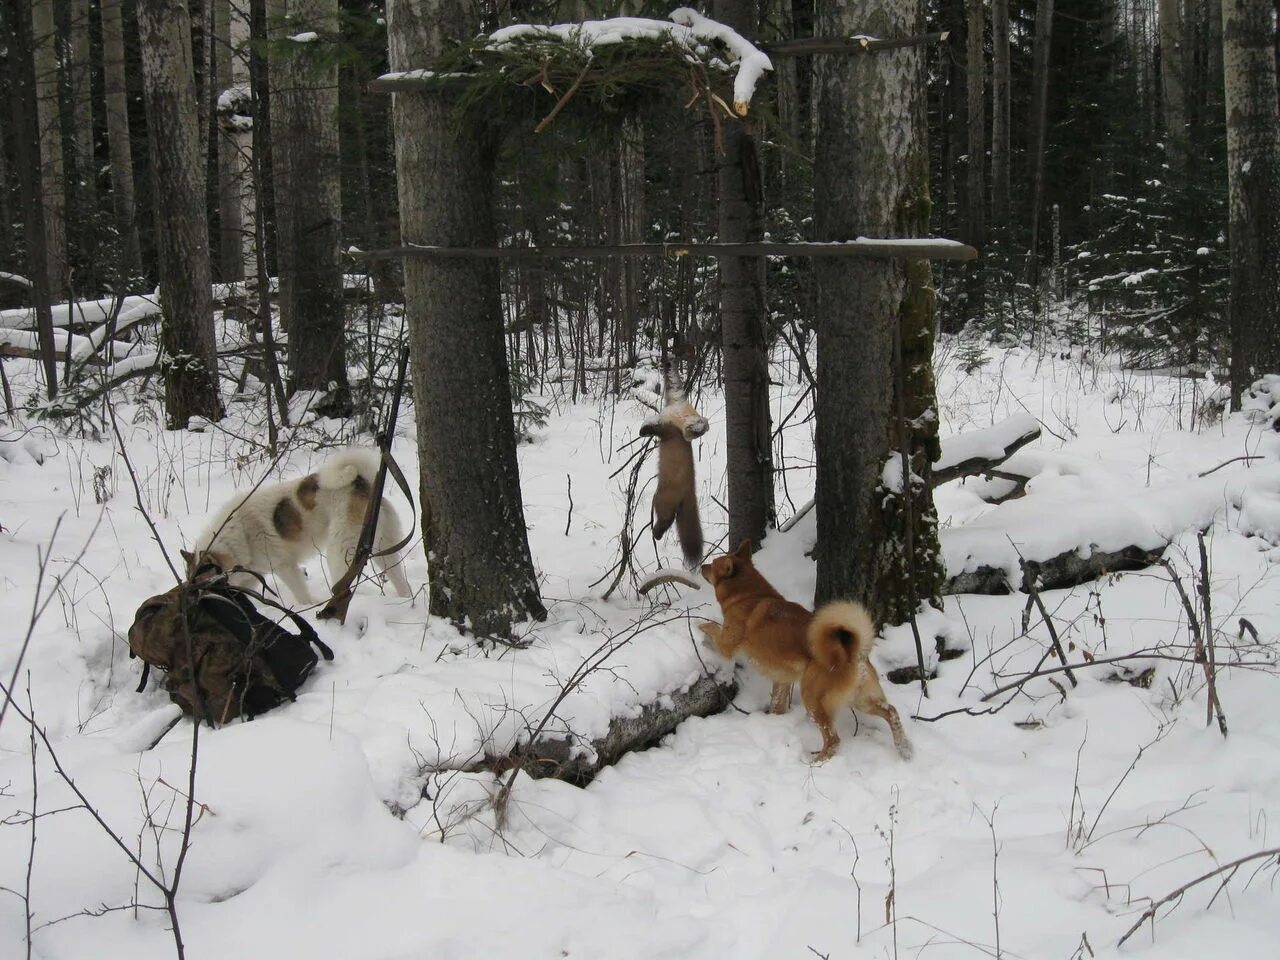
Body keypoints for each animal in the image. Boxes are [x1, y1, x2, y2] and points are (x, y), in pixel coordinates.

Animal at [183, 453, 412, 609]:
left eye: (202, 585)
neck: (239, 533)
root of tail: (360, 482)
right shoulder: (253, 574)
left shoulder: (286, 568)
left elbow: (301, 594)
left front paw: (305, 608)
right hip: (385, 550)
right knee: (401, 582)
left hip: (340, 553)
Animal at [701, 542, 911, 757]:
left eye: (712, 564)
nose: (701, 566)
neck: (748, 595)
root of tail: (853, 653)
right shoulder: (782, 680)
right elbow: (777, 704)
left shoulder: (727, 644)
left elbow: (712, 628)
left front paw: (698, 627)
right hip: (862, 700)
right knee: (891, 711)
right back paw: (904, 748)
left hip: (813, 699)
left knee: (833, 739)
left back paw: (818, 760)